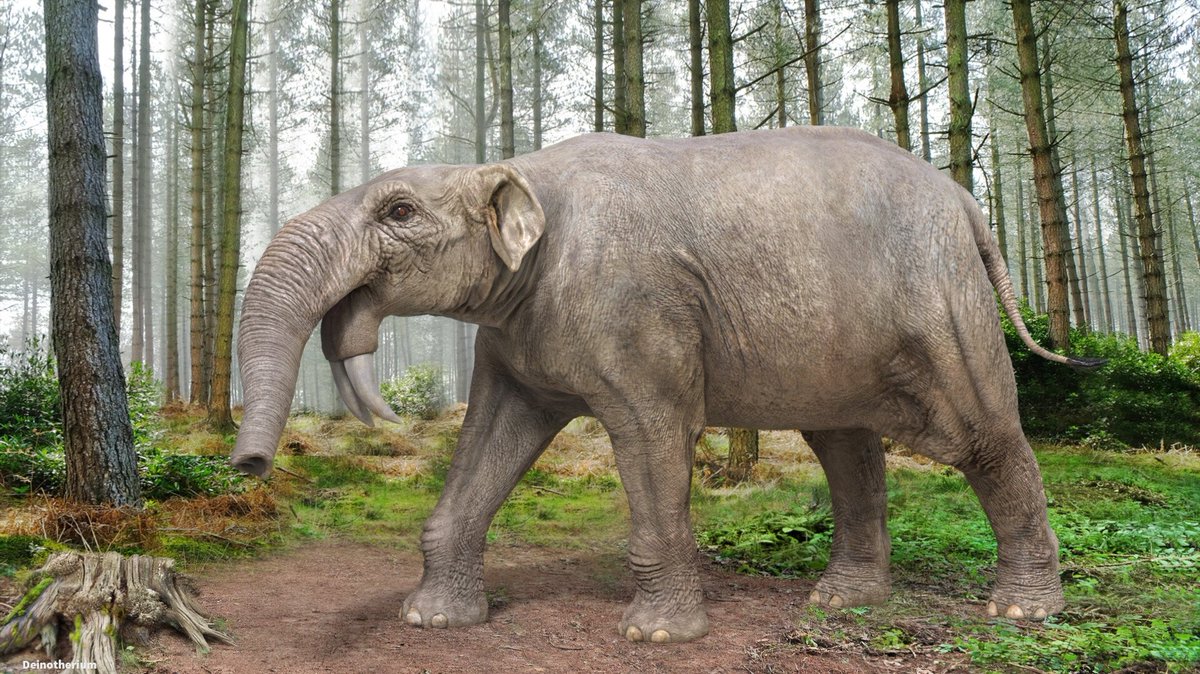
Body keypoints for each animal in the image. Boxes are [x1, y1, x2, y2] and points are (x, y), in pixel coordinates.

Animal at [230, 126, 1101, 644]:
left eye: (400, 212)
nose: (249, 466)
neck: (508, 165)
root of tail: (965, 201)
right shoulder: (519, 335)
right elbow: (496, 435)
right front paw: (433, 621)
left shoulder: (637, 311)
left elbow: (652, 433)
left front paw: (654, 637)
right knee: (846, 445)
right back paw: (842, 603)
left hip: (941, 303)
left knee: (983, 436)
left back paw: (1023, 610)